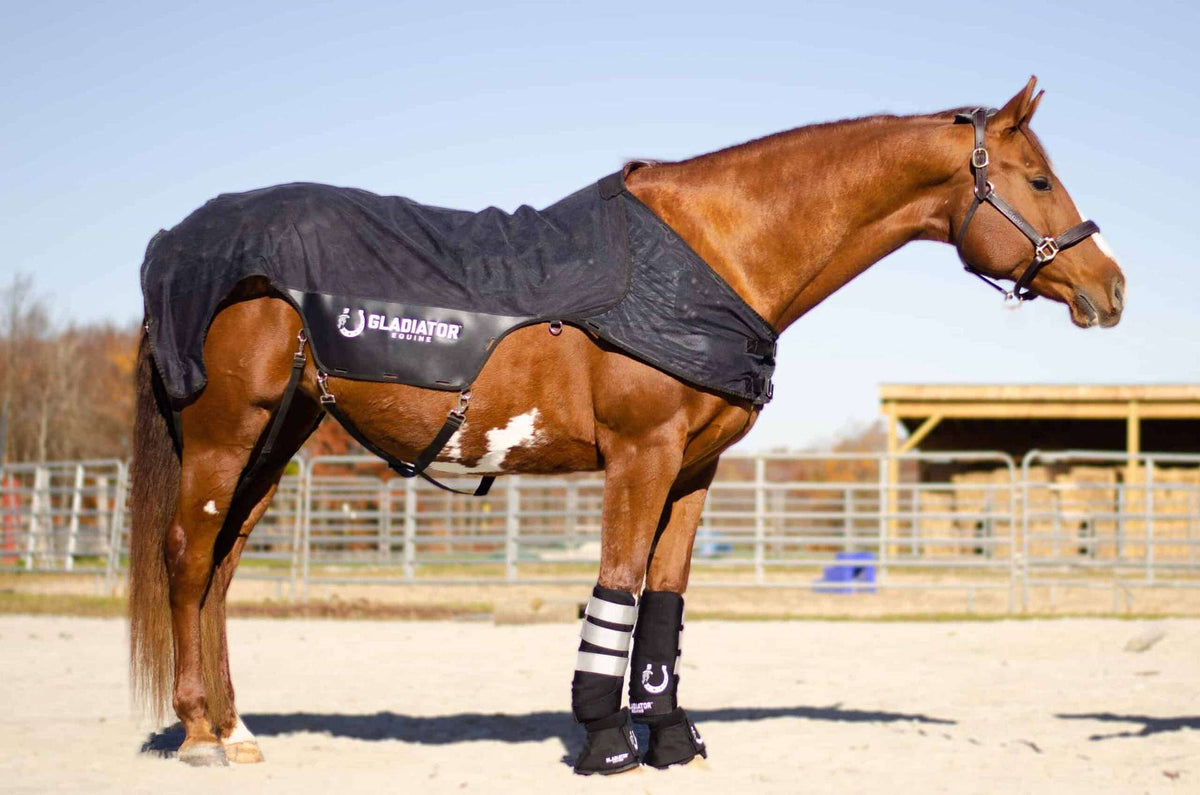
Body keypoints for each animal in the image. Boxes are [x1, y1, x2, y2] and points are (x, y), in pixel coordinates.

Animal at [128, 77, 1125, 771]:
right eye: (1039, 179)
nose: (1111, 287)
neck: (713, 254)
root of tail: (176, 240)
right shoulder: (639, 457)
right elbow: (614, 588)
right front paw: (607, 741)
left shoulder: (694, 469)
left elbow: (665, 603)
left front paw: (673, 738)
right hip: (227, 434)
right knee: (188, 556)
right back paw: (201, 733)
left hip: (281, 436)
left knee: (222, 567)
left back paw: (239, 728)